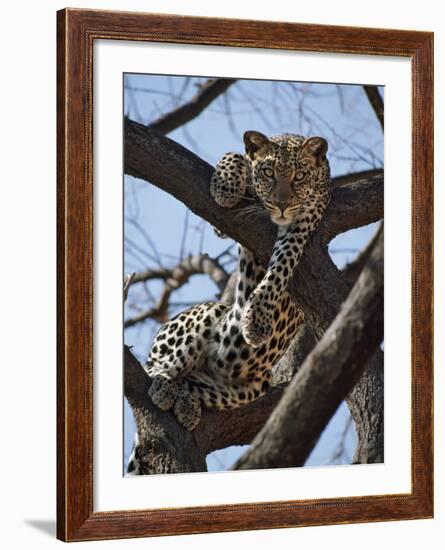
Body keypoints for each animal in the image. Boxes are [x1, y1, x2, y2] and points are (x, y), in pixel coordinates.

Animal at [126, 132, 328, 476]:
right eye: (269, 173)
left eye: (300, 176)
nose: (283, 204)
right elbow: (234, 155)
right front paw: (225, 186)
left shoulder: (304, 220)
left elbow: (281, 265)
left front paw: (257, 319)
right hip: (207, 313)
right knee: (156, 365)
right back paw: (164, 384)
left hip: (247, 387)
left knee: (193, 383)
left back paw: (184, 401)